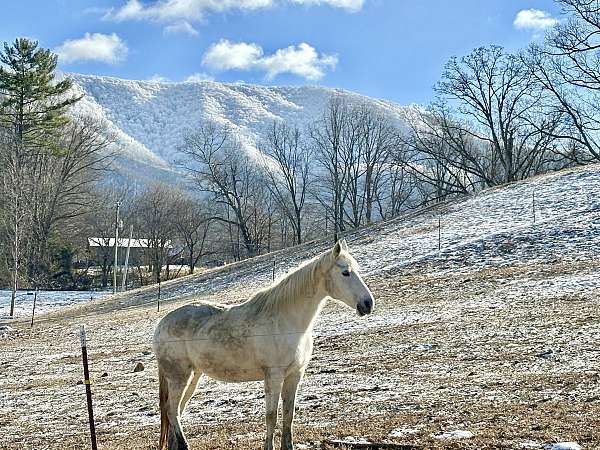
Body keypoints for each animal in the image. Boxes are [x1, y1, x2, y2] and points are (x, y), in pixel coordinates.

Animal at [152, 239, 372, 450]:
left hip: (192, 376)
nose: (368, 304)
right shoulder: (274, 376)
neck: (286, 321)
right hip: (179, 377)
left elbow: (288, 415)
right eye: (345, 272)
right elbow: (271, 416)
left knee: (176, 411)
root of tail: (161, 325)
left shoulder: (294, 375)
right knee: (172, 411)